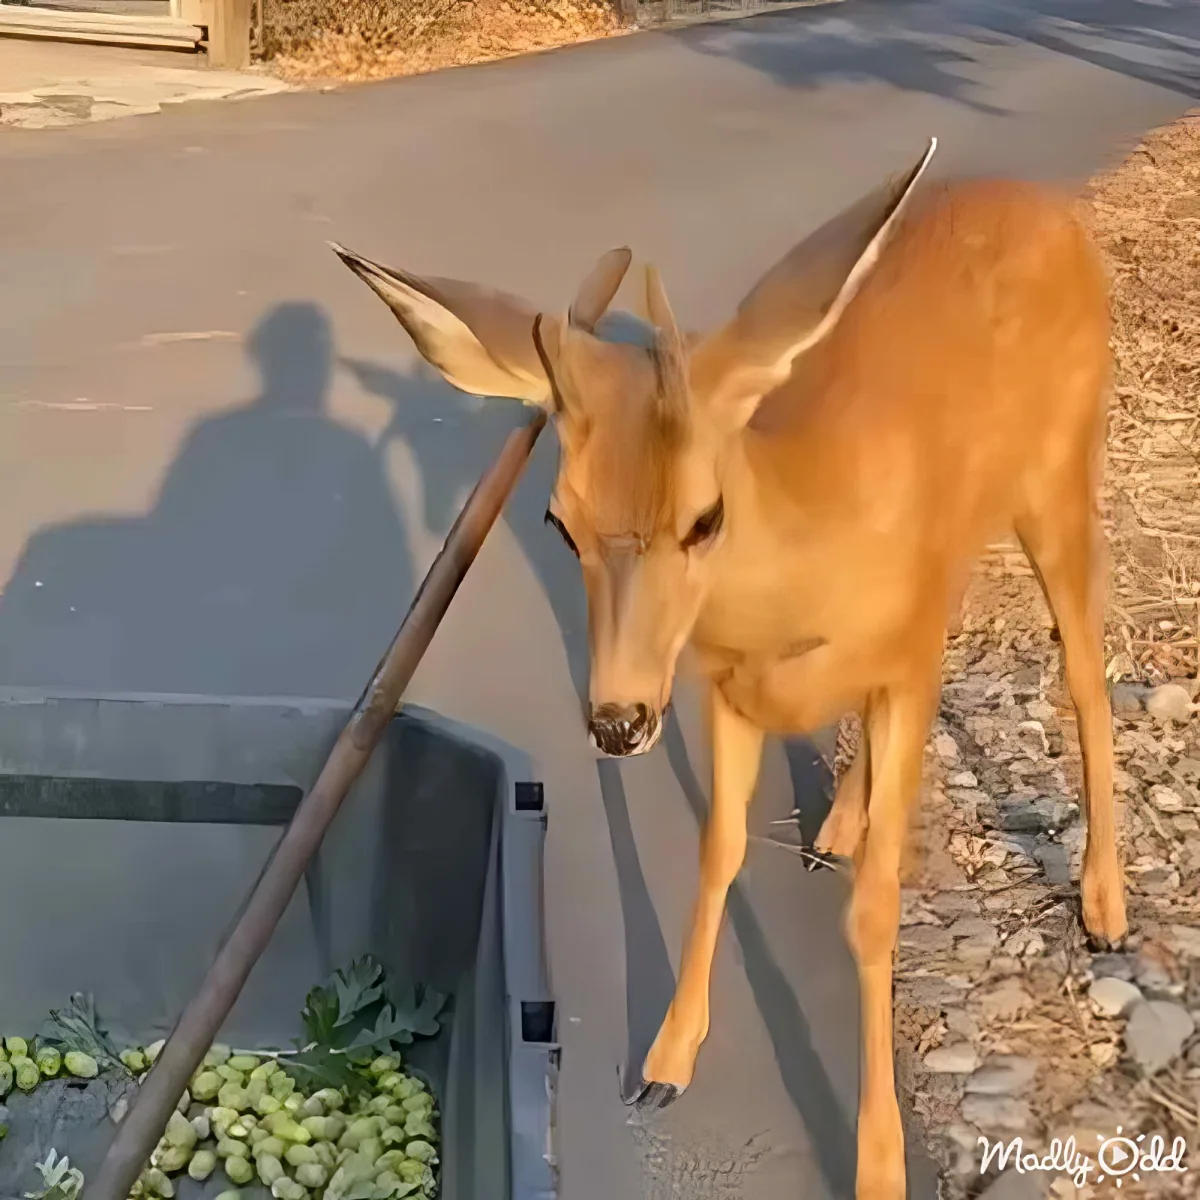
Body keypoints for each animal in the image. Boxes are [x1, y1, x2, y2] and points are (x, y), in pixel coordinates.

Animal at [331, 138, 1128, 1200]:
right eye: (558, 520)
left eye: (704, 517)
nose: (617, 719)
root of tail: (1046, 207)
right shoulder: (725, 689)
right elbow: (720, 849)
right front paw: (665, 1064)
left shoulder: (900, 669)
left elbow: (876, 911)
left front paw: (880, 1167)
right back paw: (836, 825)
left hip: (1061, 476)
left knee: (1085, 668)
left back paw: (1107, 908)